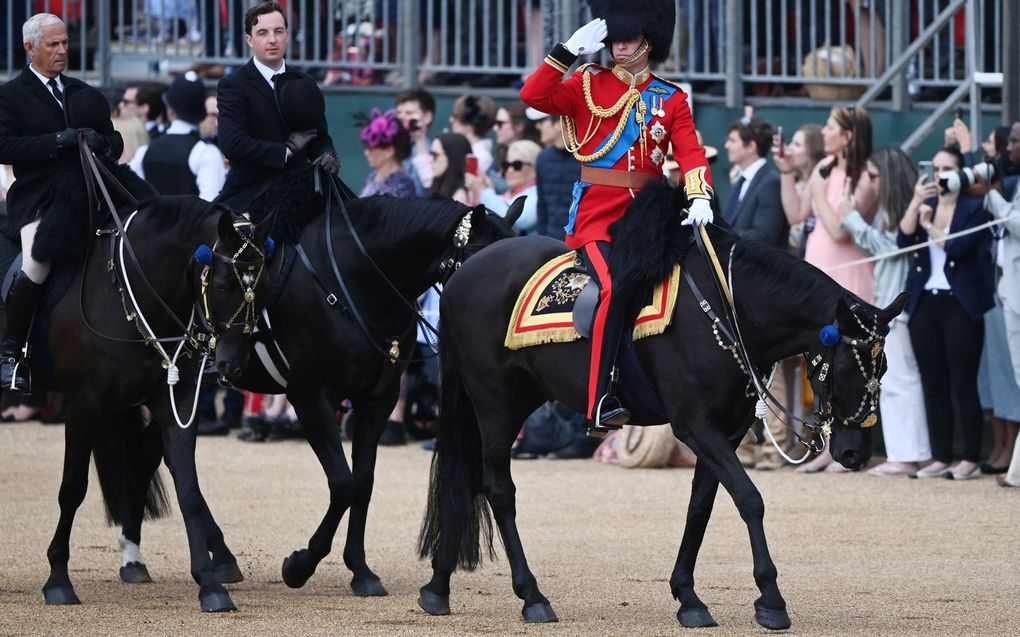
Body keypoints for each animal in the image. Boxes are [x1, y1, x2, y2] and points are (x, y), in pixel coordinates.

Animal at [19, 172, 275, 611]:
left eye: (262, 283)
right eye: (224, 284)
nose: (234, 363)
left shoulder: (173, 402)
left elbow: (188, 489)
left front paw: (210, 583)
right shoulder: (83, 404)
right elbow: (72, 488)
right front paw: (58, 579)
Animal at [416, 181, 909, 627]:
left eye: (883, 369)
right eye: (847, 367)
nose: (856, 453)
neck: (728, 307)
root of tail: (465, 272)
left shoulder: (723, 431)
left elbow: (701, 507)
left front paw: (688, 597)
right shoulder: (694, 425)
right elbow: (749, 499)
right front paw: (770, 598)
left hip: (517, 397)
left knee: (468, 479)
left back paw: (439, 586)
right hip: (494, 402)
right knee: (497, 489)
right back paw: (530, 595)